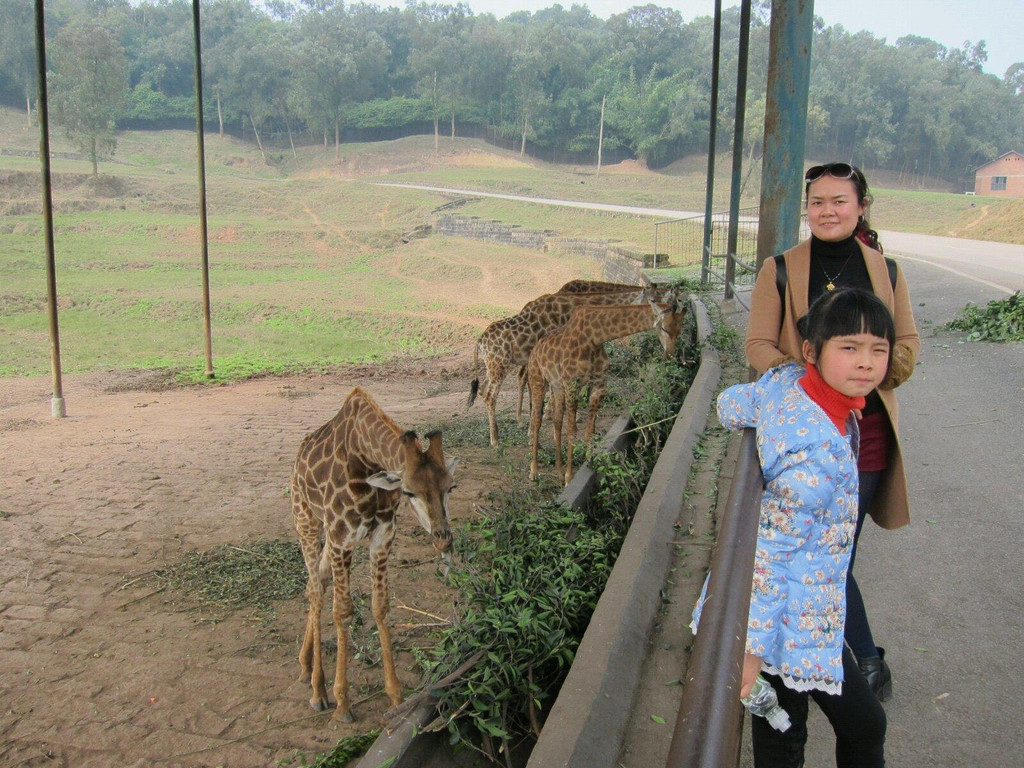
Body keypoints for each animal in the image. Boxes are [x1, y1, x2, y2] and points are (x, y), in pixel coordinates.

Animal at [292, 391, 460, 720]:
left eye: (451, 487)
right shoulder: (342, 537)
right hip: (307, 520)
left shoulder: (382, 535)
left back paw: (305, 665)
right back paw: (318, 691)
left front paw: (395, 695)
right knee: (316, 590)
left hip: (328, 537)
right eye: (408, 492)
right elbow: (343, 611)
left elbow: (380, 607)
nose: (443, 541)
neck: (365, 460)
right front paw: (343, 703)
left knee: (316, 582)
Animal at [466, 286, 647, 444]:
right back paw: (495, 441)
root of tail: (480, 342)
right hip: (499, 365)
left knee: (483, 390)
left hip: (492, 367)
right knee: (490, 396)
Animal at [528, 296, 688, 487]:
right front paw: (569, 478)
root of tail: (535, 349)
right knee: (537, 420)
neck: (595, 338)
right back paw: (534, 471)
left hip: (557, 385)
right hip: (538, 380)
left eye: (680, 330)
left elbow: (590, 429)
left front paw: (589, 462)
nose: (669, 355)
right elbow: (572, 431)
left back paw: (558, 470)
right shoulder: (573, 385)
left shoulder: (598, 384)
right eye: (664, 327)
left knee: (557, 420)